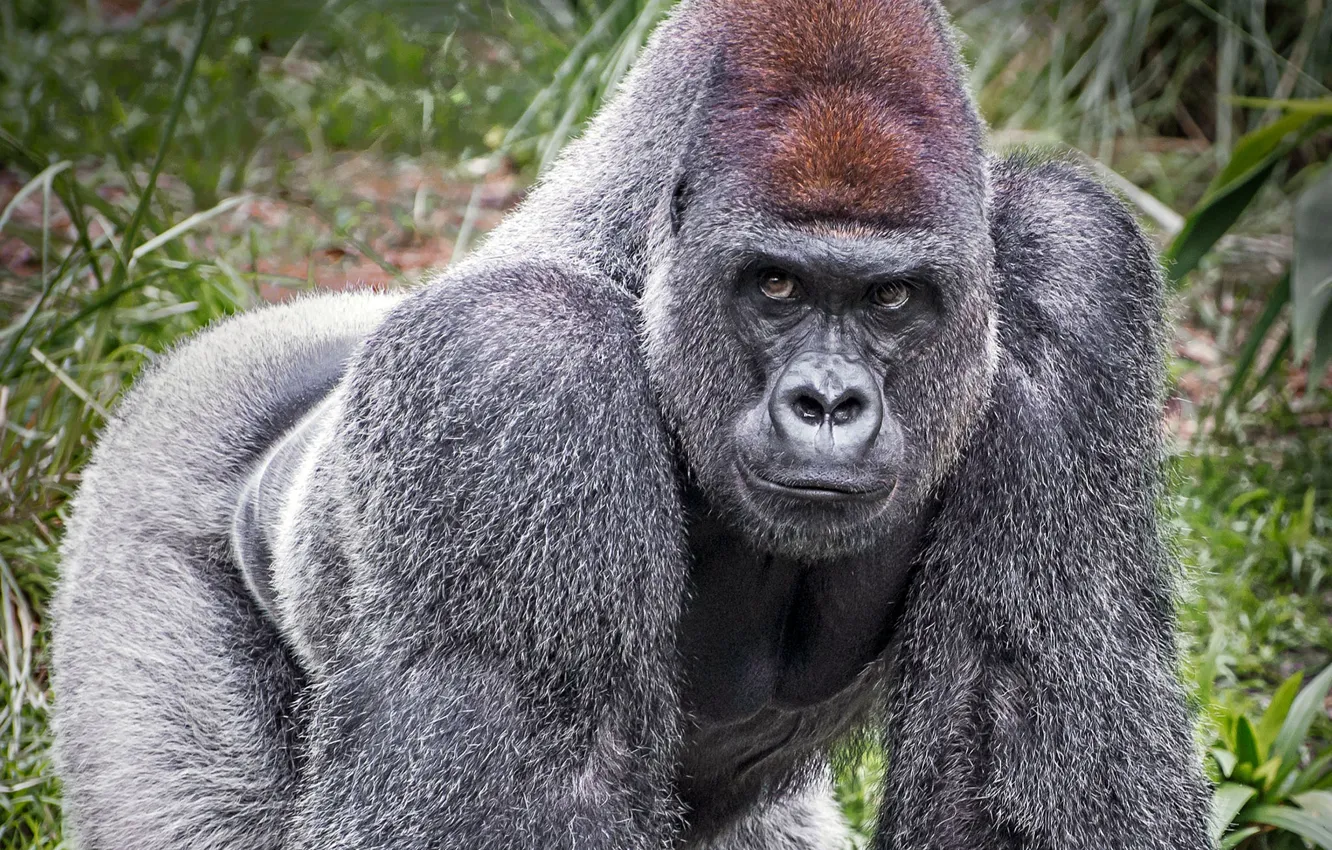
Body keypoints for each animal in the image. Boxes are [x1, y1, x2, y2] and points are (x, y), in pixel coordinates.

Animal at [51, 0, 1213, 848]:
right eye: (776, 286)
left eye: (892, 300)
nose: (828, 403)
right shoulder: (516, 369)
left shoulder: (1077, 271)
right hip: (154, 487)